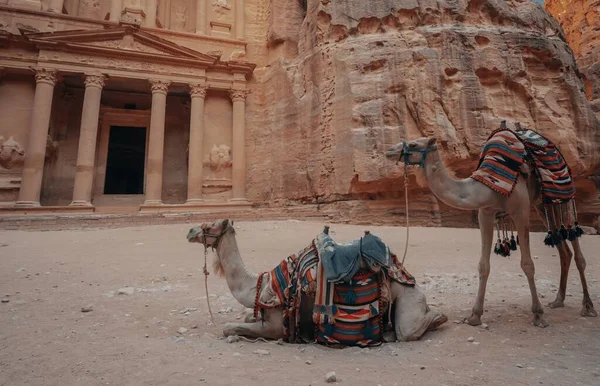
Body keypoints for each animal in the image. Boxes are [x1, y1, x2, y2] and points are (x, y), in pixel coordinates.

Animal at [185, 219, 448, 342]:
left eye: (210, 225)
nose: (190, 231)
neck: (257, 285)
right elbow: (248, 316)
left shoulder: (276, 325)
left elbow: (229, 328)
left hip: (407, 301)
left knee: (410, 329)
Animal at [386, 134, 596, 328]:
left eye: (413, 144)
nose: (389, 151)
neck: (487, 186)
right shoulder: (485, 213)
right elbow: (483, 266)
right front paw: (475, 316)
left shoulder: (521, 211)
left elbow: (527, 264)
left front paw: (538, 315)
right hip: (541, 205)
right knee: (564, 252)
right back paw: (558, 300)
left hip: (562, 198)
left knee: (578, 254)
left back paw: (588, 306)